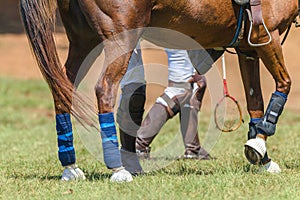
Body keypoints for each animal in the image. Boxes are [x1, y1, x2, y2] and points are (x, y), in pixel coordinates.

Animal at [19, 0, 298, 181]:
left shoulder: (248, 47)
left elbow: (255, 103)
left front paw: (262, 156)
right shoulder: (268, 37)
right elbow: (284, 85)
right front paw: (260, 146)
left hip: (82, 40)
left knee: (63, 87)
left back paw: (71, 166)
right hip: (120, 38)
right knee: (105, 89)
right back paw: (119, 169)